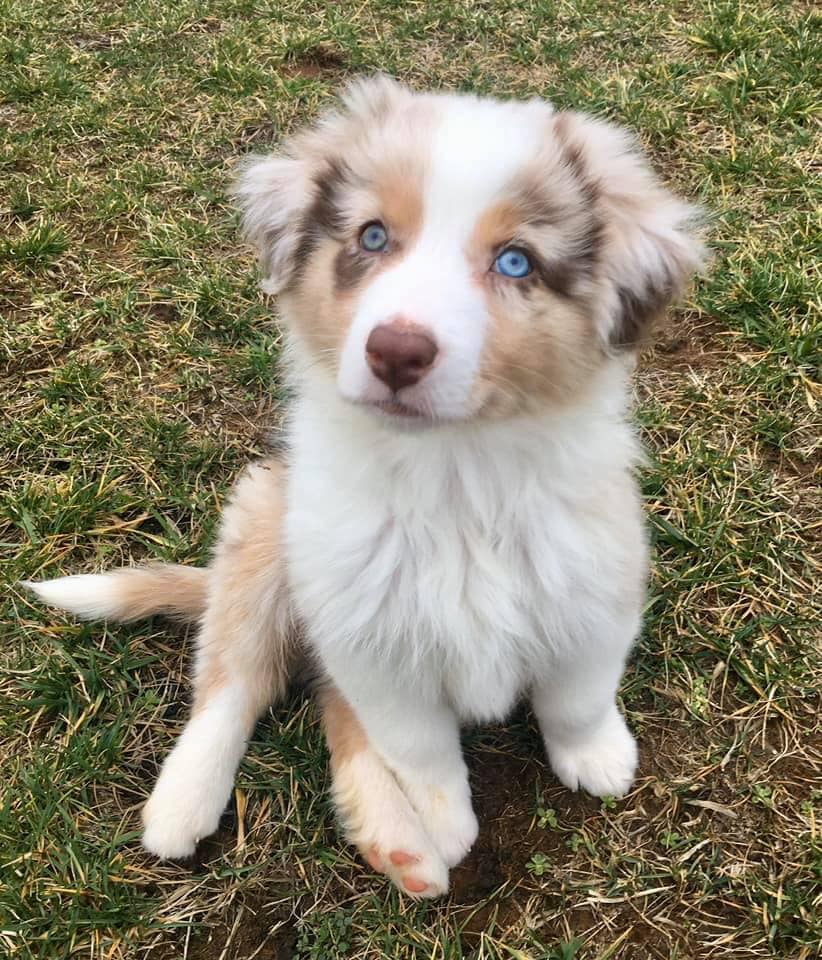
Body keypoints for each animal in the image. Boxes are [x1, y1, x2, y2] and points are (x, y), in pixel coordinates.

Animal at [27, 79, 708, 896]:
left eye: (516, 261)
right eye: (374, 237)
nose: (396, 352)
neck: (456, 473)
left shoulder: (593, 590)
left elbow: (577, 694)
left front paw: (596, 756)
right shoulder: (372, 644)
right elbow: (420, 747)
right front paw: (446, 819)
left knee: (325, 706)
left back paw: (397, 847)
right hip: (265, 533)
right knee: (234, 681)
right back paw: (186, 803)